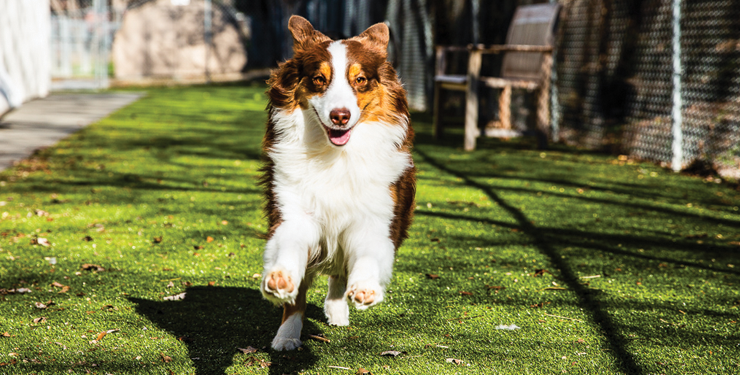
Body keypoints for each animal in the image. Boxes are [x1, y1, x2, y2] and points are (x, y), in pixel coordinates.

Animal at [258, 16, 416, 352]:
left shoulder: (376, 218)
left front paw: (366, 287)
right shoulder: (294, 213)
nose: (340, 116)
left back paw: (338, 311)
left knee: (340, 274)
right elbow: (289, 255)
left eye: (360, 80)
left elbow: (367, 256)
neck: (335, 155)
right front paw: (280, 281)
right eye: (319, 79)